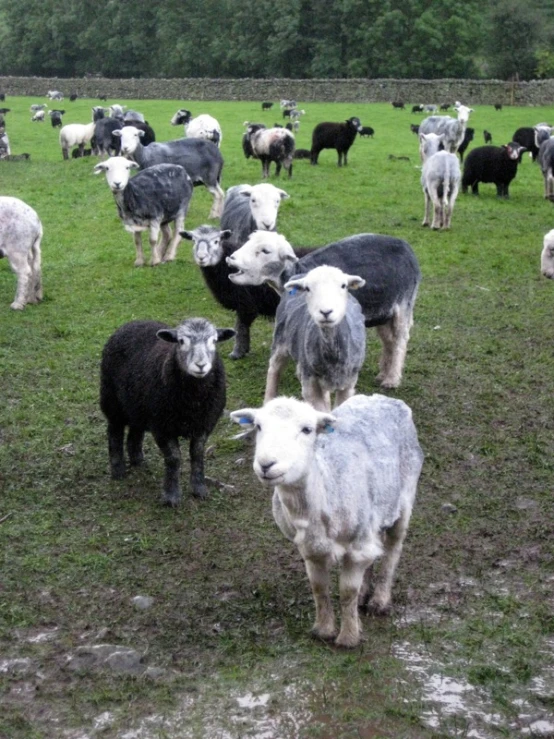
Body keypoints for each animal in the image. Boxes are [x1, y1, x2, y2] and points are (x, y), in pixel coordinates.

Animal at [100, 316, 234, 506]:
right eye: (181, 341)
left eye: (214, 341)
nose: (200, 365)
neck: (193, 400)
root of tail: (133, 322)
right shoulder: (162, 426)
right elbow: (174, 458)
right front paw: (171, 496)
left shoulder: (204, 423)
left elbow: (197, 454)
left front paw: (199, 489)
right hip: (112, 399)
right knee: (114, 432)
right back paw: (118, 470)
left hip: (138, 405)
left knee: (135, 432)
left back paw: (138, 461)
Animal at [224, 231, 418, 390]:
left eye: (265, 251)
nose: (231, 258)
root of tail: (407, 248)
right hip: (384, 311)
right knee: (389, 341)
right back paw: (383, 374)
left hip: (404, 303)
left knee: (400, 340)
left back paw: (391, 379)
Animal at [229, 394, 422, 648]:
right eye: (258, 426)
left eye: (307, 429)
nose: (266, 464)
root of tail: (384, 398)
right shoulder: (311, 547)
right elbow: (319, 588)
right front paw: (324, 630)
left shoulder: (356, 543)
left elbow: (347, 592)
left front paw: (348, 637)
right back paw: (365, 594)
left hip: (406, 496)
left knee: (392, 549)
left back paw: (380, 600)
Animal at [264, 266, 366, 414]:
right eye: (307, 288)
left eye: (344, 285)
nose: (326, 312)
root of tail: (299, 274)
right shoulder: (309, 384)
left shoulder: (349, 383)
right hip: (280, 338)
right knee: (274, 368)